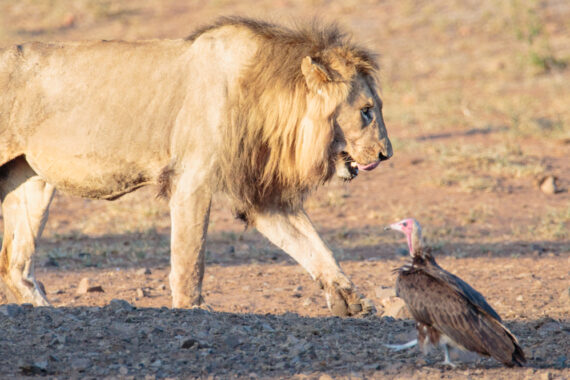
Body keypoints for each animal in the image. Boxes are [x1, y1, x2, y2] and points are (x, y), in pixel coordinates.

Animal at [0, 16, 390, 316]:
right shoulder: (192, 179)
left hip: (32, 181)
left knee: (14, 265)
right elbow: (191, 255)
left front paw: (351, 301)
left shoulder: (260, 195)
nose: (387, 154)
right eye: (367, 111)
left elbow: (314, 246)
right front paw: (192, 308)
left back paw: (45, 310)